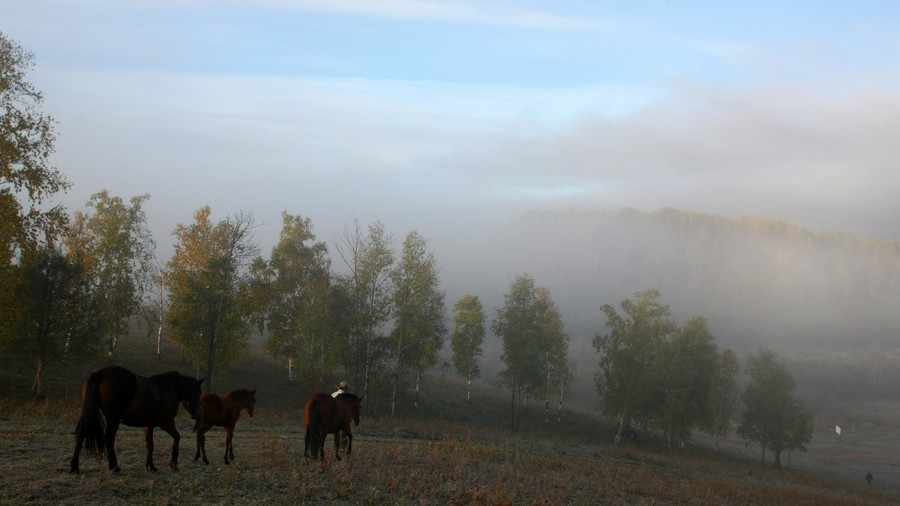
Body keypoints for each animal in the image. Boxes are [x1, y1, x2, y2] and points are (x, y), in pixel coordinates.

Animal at [70, 366, 204, 472]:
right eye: (198, 393)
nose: (197, 414)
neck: (167, 389)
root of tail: (100, 373)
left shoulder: (148, 425)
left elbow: (150, 445)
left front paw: (151, 467)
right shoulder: (166, 422)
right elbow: (177, 437)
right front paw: (173, 464)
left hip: (90, 412)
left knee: (81, 435)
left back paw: (74, 467)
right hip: (113, 418)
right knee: (108, 439)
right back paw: (115, 467)